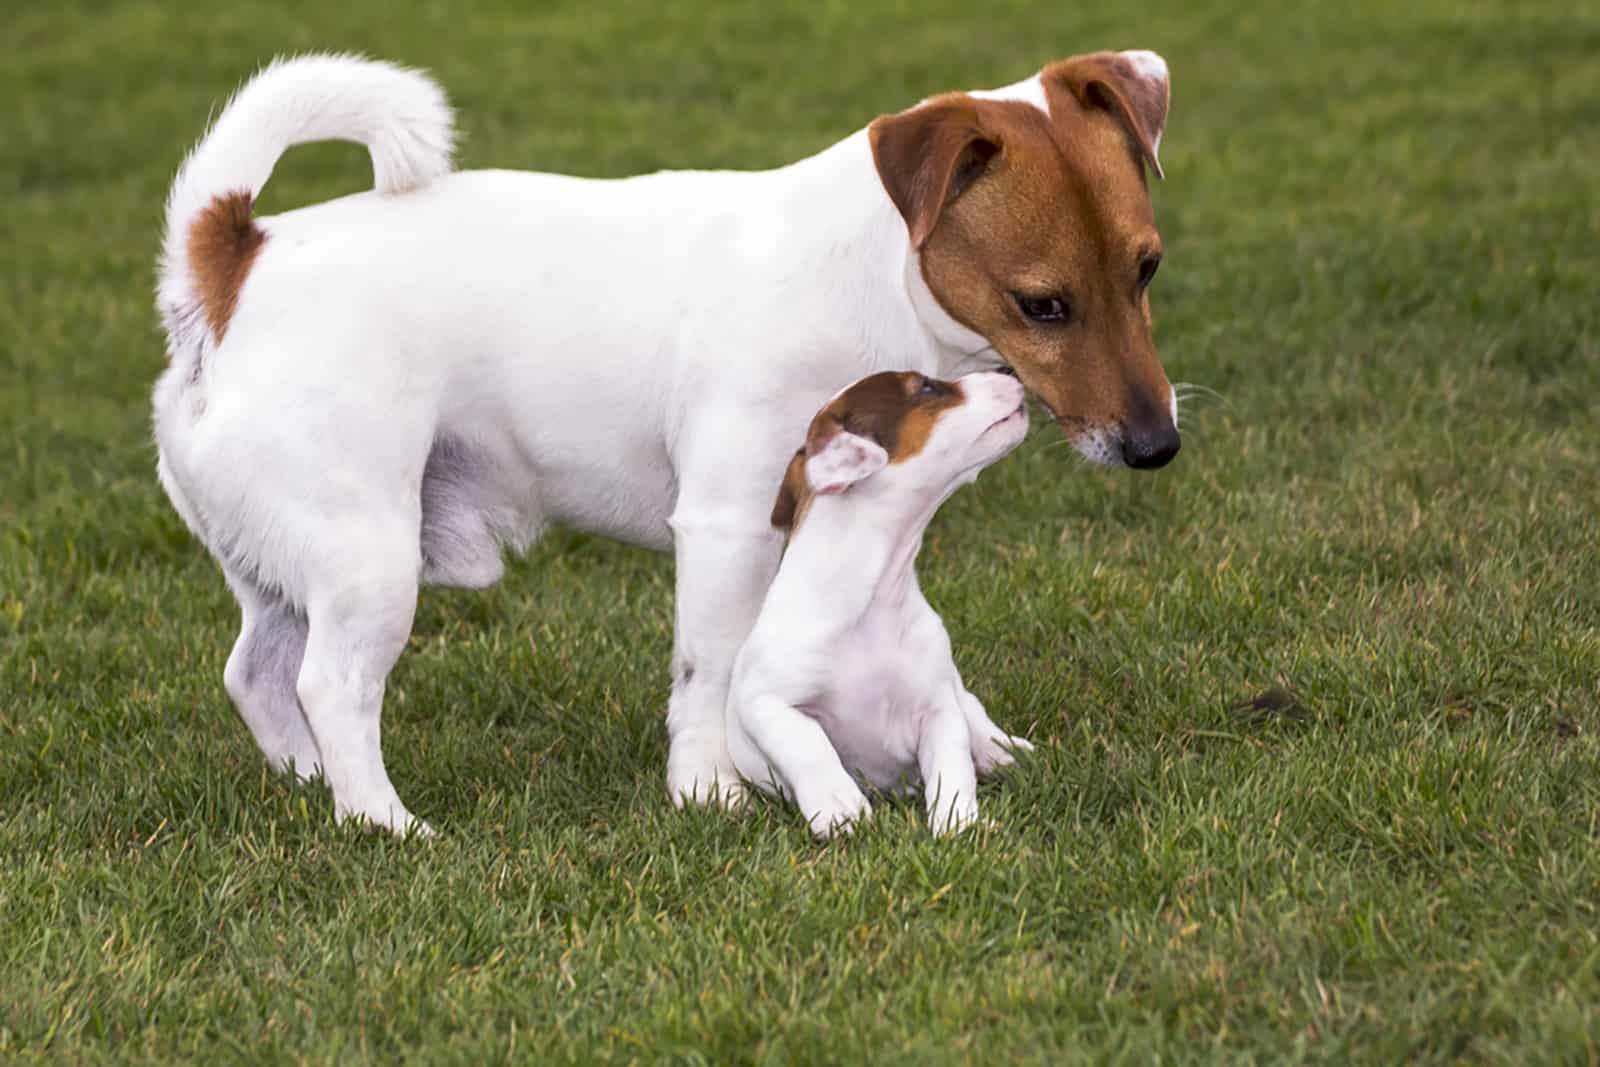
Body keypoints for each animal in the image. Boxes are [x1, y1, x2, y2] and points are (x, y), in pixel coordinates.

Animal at [729, 371, 1030, 838]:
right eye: (926, 388)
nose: (1010, 372)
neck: (875, 601)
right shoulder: (765, 701)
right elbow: (807, 744)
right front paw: (837, 805)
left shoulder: (938, 705)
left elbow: (952, 766)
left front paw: (958, 823)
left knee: (974, 711)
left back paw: (1000, 750)